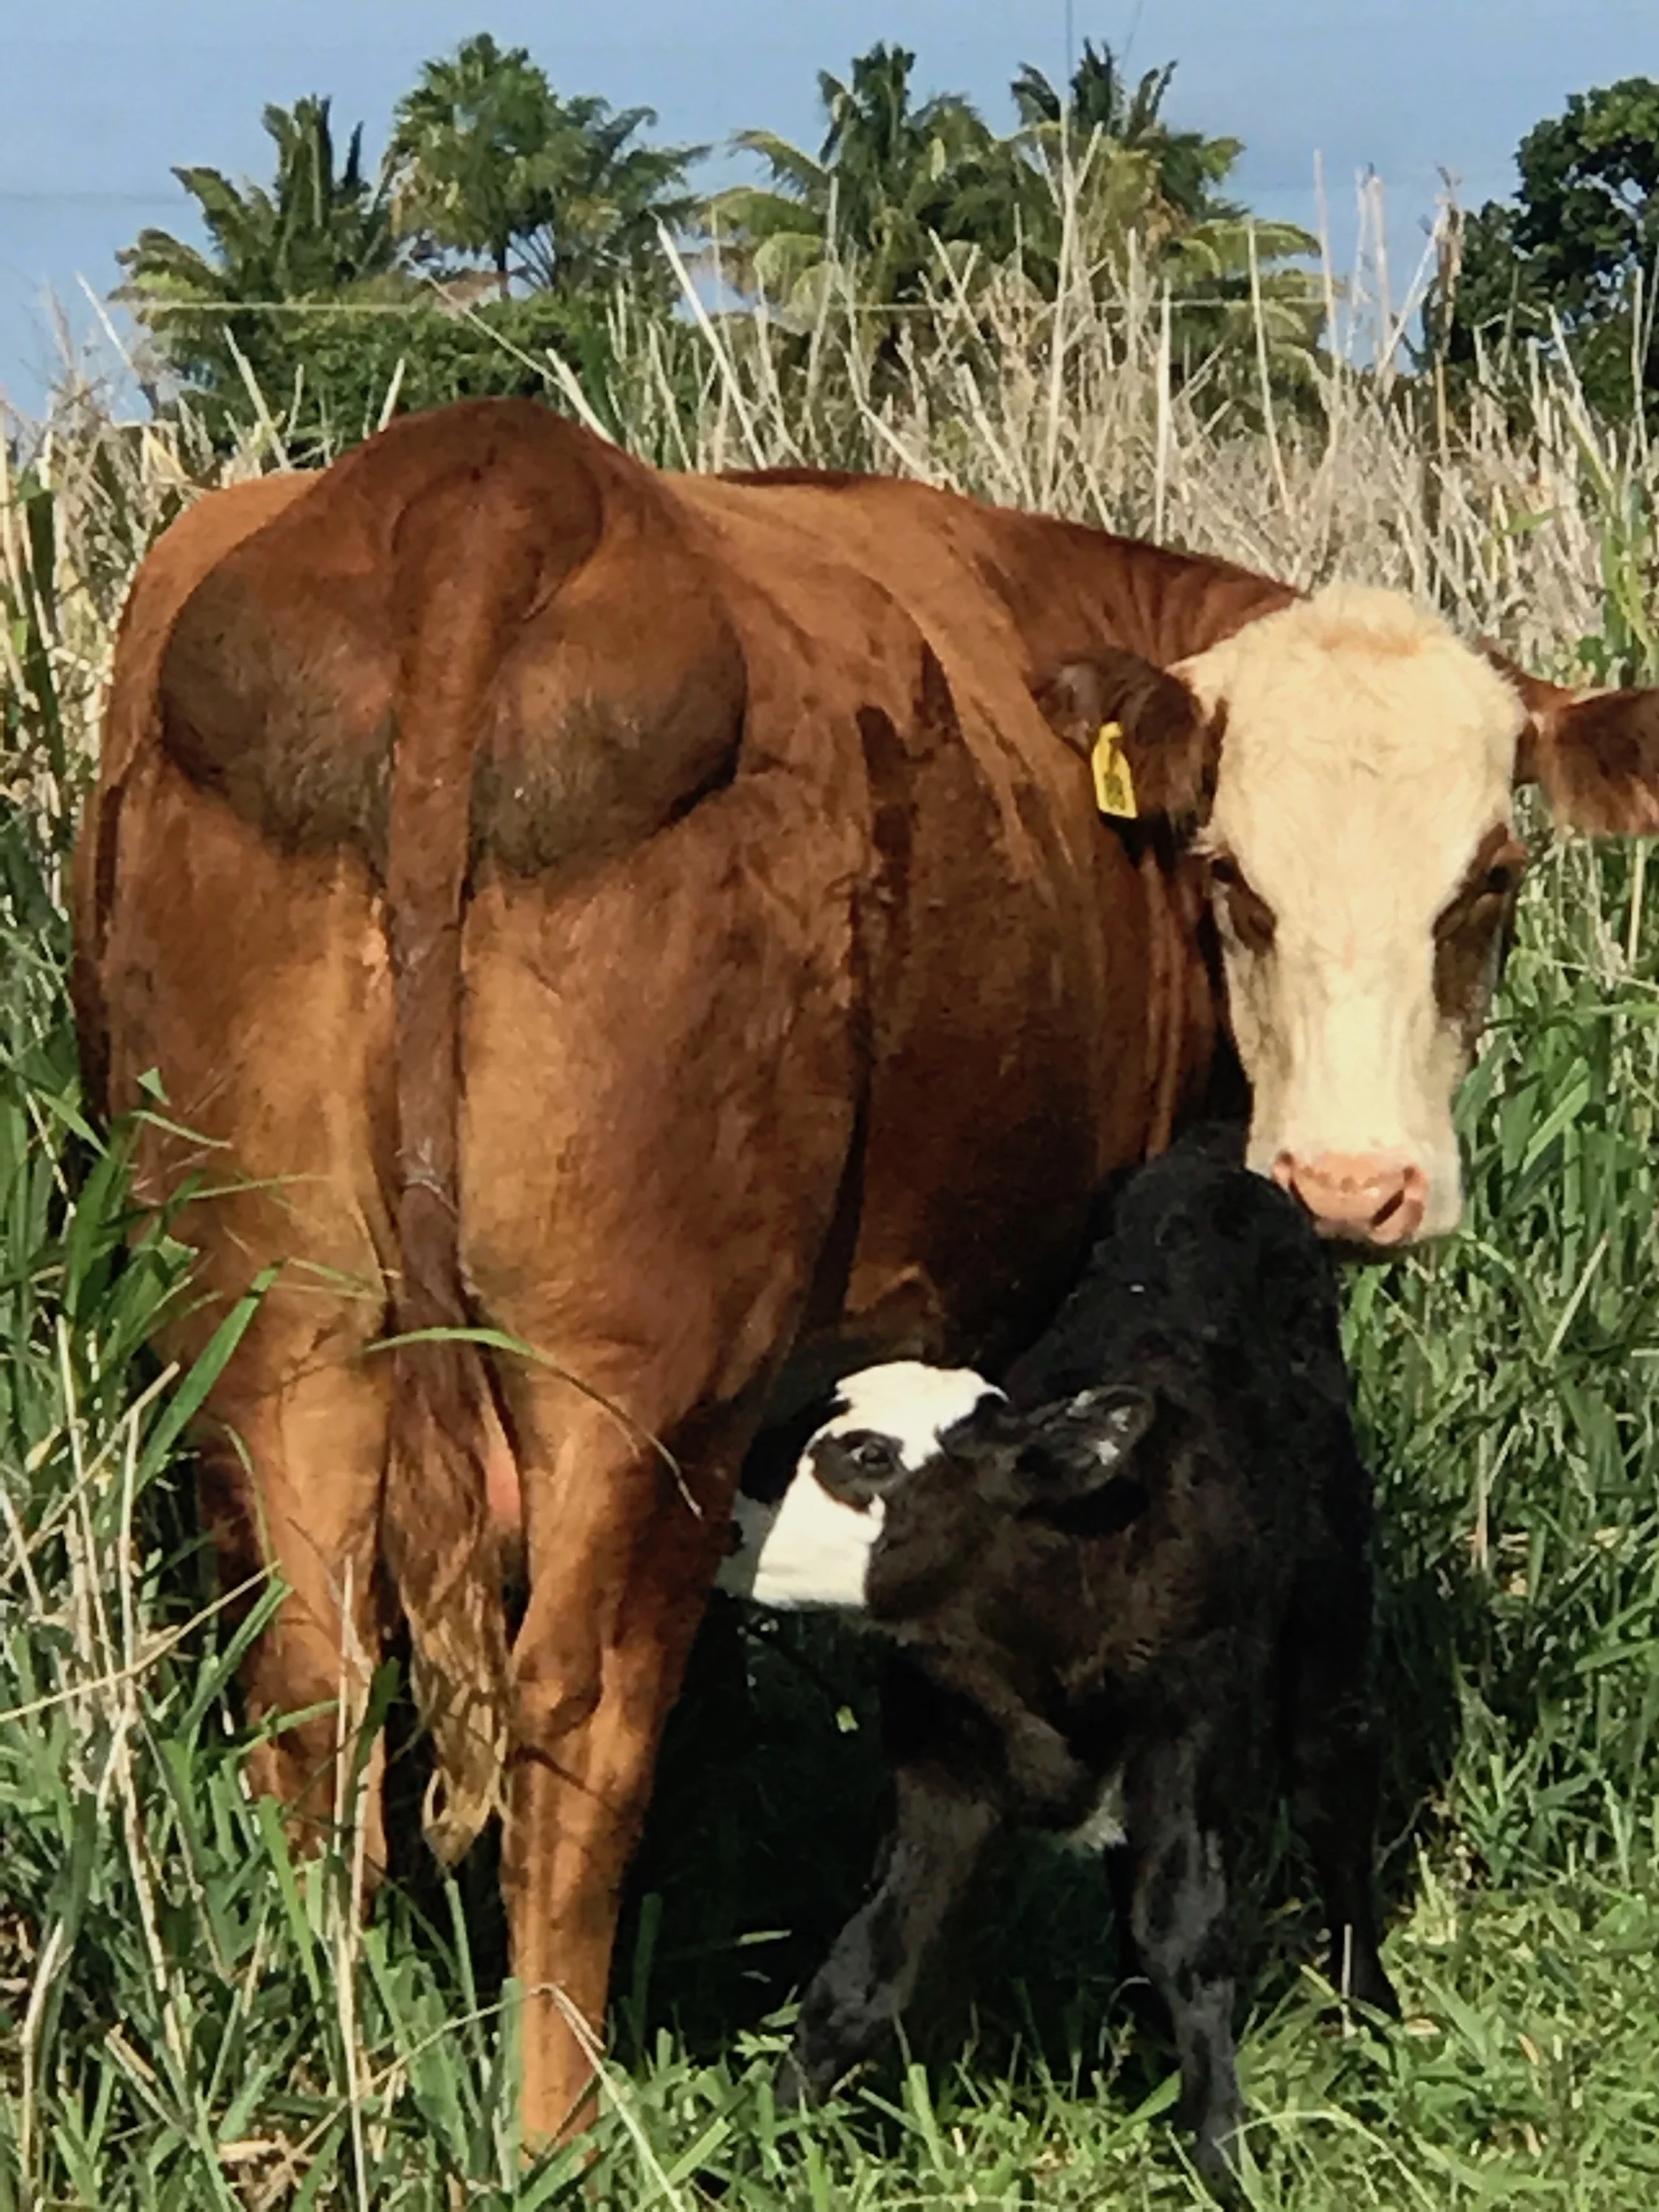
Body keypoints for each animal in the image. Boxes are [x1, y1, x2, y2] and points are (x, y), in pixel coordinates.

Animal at [721, 1124, 1396, 2197]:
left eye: (868, 1457)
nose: (714, 1518)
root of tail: (1212, 1165)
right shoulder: (940, 1773)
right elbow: (867, 1964)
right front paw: (759, 2142)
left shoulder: (1187, 1735)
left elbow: (1188, 1932)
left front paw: (1221, 2155)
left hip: (1331, 1589)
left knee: (1336, 1782)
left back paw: (1367, 2008)